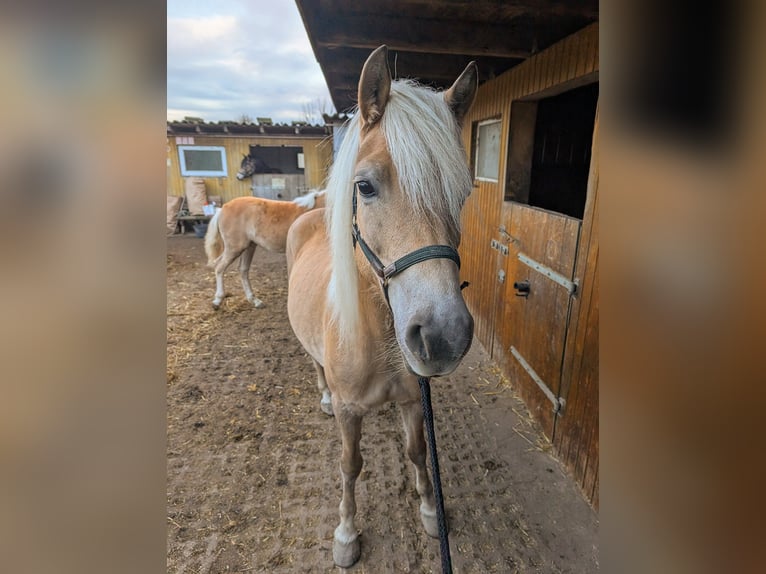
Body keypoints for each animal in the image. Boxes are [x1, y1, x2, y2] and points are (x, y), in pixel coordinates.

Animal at [288, 46, 480, 572]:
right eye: (365, 187)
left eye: (462, 194)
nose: (442, 336)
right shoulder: (351, 414)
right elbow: (350, 466)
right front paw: (346, 533)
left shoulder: (414, 400)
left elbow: (417, 453)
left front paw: (431, 511)